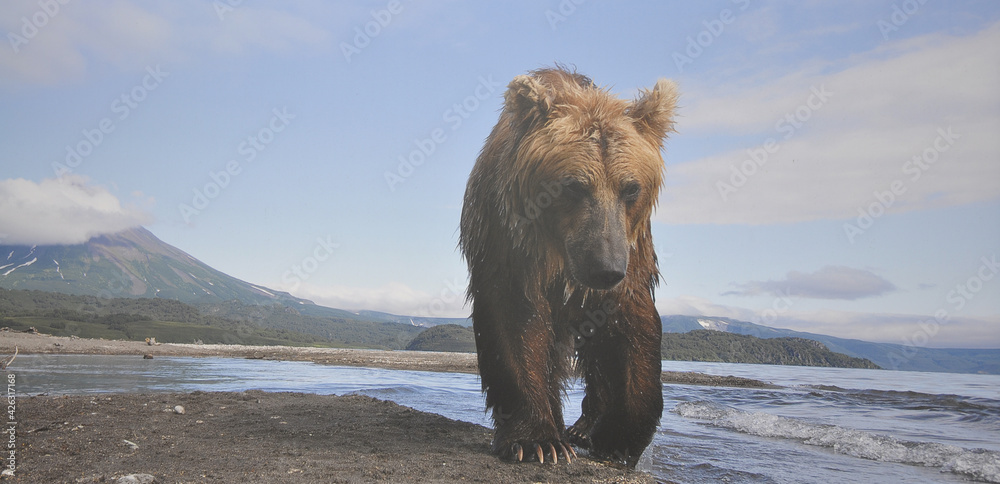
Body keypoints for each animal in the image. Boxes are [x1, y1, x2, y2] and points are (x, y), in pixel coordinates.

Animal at [459, 66, 678, 467]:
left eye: (631, 188)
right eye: (574, 186)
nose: (605, 268)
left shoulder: (632, 249)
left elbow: (629, 322)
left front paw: (620, 436)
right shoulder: (508, 235)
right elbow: (516, 317)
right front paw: (536, 440)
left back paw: (583, 426)